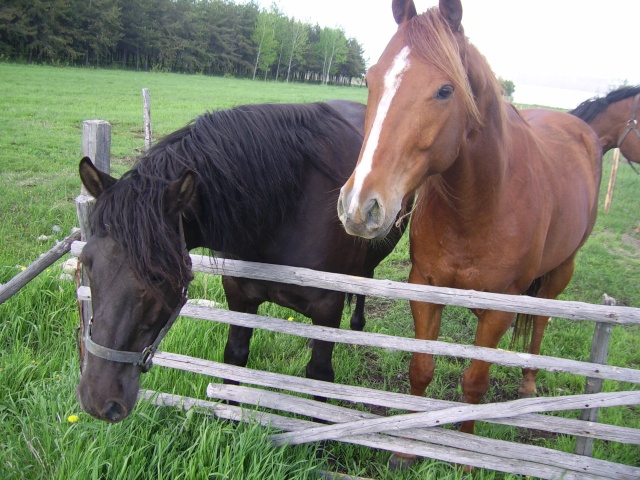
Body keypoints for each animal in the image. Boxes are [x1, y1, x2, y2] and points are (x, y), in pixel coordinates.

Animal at [338, 0, 604, 464]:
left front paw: (466, 451)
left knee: (541, 320)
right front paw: (407, 447)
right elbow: (421, 369)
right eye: (370, 79)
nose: (360, 206)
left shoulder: (498, 310)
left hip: (561, 270)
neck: (478, 206)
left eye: (446, 91)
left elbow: (475, 384)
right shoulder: (424, 289)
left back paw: (529, 382)